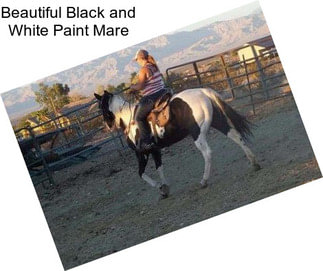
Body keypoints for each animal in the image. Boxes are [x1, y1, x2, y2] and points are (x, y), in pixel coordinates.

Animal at [95, 88, 262, 199]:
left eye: (101, 106)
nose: (108, 125)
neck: (130, 120)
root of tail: (203, 92)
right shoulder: (155, 150)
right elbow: (159, 168)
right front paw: (165, 188)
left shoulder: (141, 153)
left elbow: (141, 173)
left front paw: (160, 187)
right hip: (218, 122)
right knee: (237, 137)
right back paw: (254, 163)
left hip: (197, 133)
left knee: (207, 153)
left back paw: (204, 181)